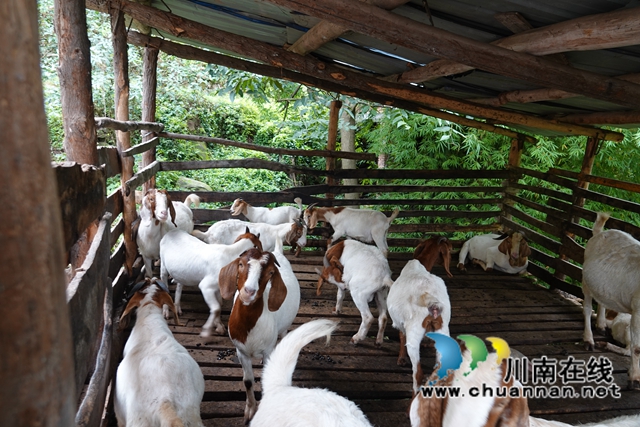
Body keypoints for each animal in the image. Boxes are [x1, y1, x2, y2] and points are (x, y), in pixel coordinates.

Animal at [219, 237, 302, 424]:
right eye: (241, 264)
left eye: (271, 273)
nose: (249, 291)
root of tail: (279, 251)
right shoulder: (241, 351)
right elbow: (248, 381)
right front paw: (250, 409)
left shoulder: (268, 349)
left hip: (284, 328)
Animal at [384, 258, 450, 394]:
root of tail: (432, 303)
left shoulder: (401, 323)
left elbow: (402, 336)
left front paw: (401, 360)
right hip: (443, 329)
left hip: (414, 331)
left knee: (418, 373)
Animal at [584, 212, 640, 390]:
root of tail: (600, 233)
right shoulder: (638, 310)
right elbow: (637, 348)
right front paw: (635, 379)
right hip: (585, 280)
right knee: (587, 307)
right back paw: (589, 340)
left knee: (602, 299)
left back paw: (601, 325)